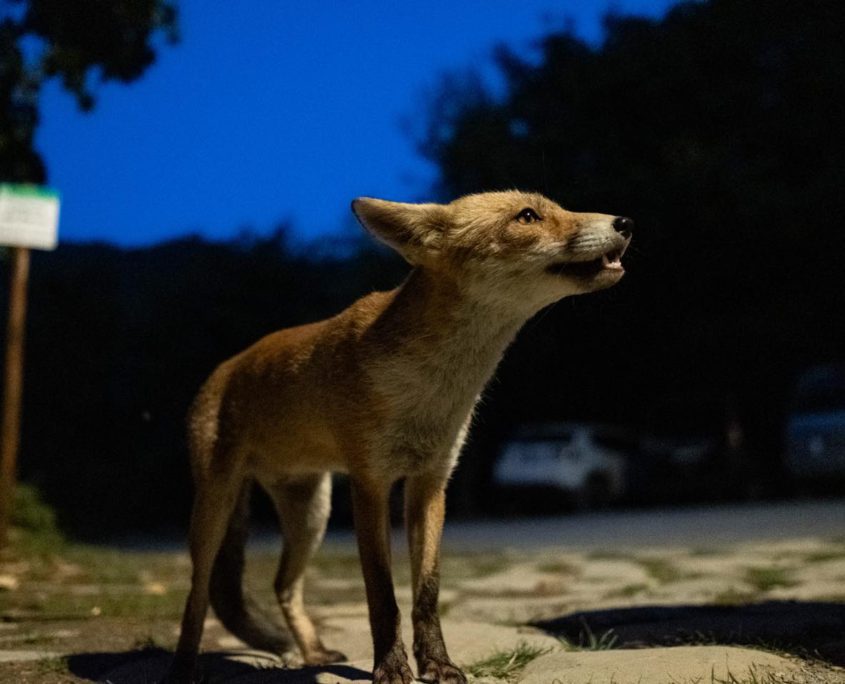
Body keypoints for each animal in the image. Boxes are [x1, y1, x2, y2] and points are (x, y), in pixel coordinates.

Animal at [169, 190, 633, 684]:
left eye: (557, 207)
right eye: (527, 216)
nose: (625, 222)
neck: (434, 391)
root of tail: (225, 367)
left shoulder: (430, 482)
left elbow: (426, 594)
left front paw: (438, 663)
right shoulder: (370, 483)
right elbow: (382, 595)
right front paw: (390, 666)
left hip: (311, 515)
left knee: (283, 585)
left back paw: (313, 653)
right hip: (215, 510)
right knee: (198, 592)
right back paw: (184, 668)